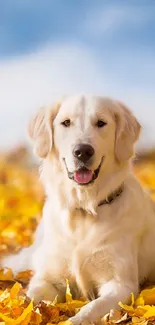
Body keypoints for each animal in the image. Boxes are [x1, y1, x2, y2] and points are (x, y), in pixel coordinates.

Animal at [2, 94, 155, 324]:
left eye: (101, 123)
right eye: (66, 122)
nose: (83, 151)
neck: (83, 210)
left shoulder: (120, 285)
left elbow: (91, 308)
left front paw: (74, 319)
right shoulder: (48, 277)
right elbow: (29, 298)